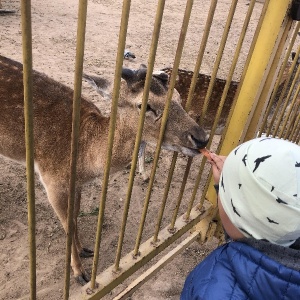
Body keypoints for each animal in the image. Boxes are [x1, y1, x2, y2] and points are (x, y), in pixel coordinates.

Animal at [0, 55, 209, 284]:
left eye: (179, 97)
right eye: (145, 105)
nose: (202, 138)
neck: (87, 158)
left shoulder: (77, 184)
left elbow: (74, 217)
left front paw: (84, 250)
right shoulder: (52, 181)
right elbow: (68, 224)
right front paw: (80, 273)